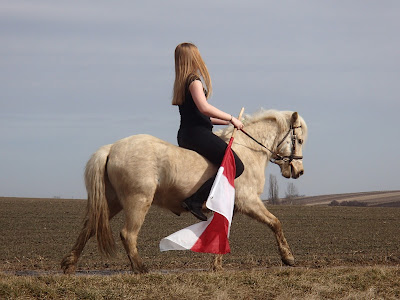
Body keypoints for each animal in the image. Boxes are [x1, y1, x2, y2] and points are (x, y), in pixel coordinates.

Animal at [61, 109, 308, 274]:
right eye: (299, 140)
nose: (299, 171)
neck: (248, 150)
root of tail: (112, 148)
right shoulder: (249, 202)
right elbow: (275, 223)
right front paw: (288, 258)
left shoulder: (230, 208)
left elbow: (222, 233)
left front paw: (216, 266)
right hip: (138, 200)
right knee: (128, 234)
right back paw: (141, 268)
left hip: (112, 201)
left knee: (89, 227)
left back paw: (69, 264)